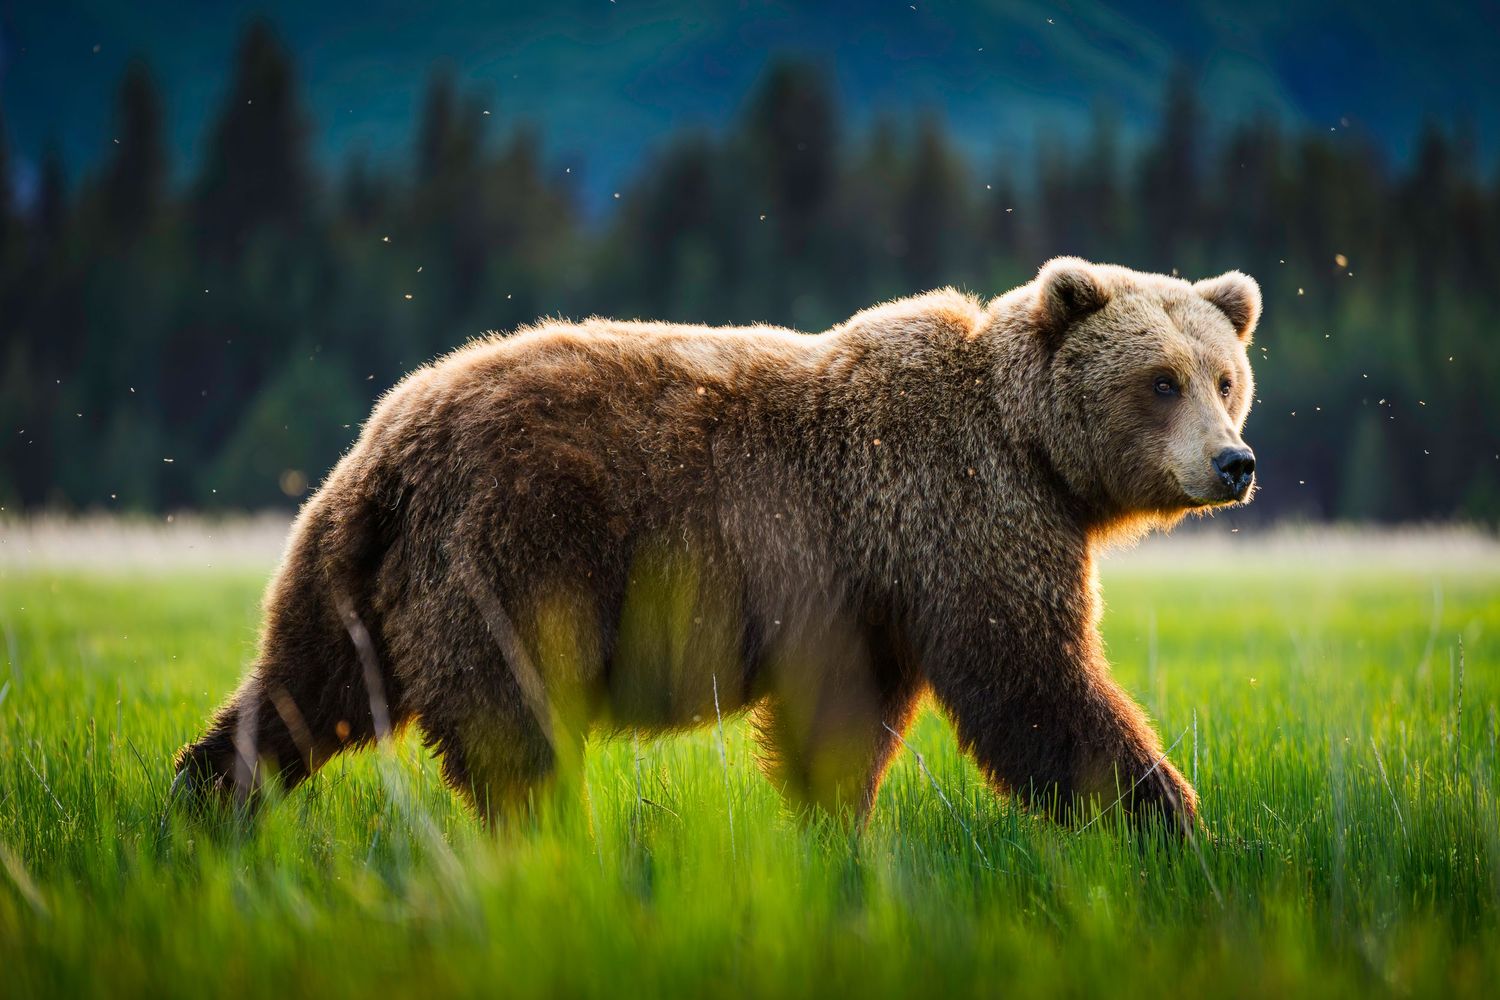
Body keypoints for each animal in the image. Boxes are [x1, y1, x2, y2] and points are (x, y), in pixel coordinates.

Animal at [175, 257, 1261, 833]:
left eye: (1225, 376)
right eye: (1161, 380)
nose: (1235, 462)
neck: (1029, 444)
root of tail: (392, 440)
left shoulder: (874, 585)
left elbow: (847, 723)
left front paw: (833, 826)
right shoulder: (958, 513)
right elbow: (1033, 678)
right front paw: (1171, 820)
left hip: (349, 565)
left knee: (301, 689)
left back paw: (202, 799)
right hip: (516, 546)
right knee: (514, 724)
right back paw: (549, 843)